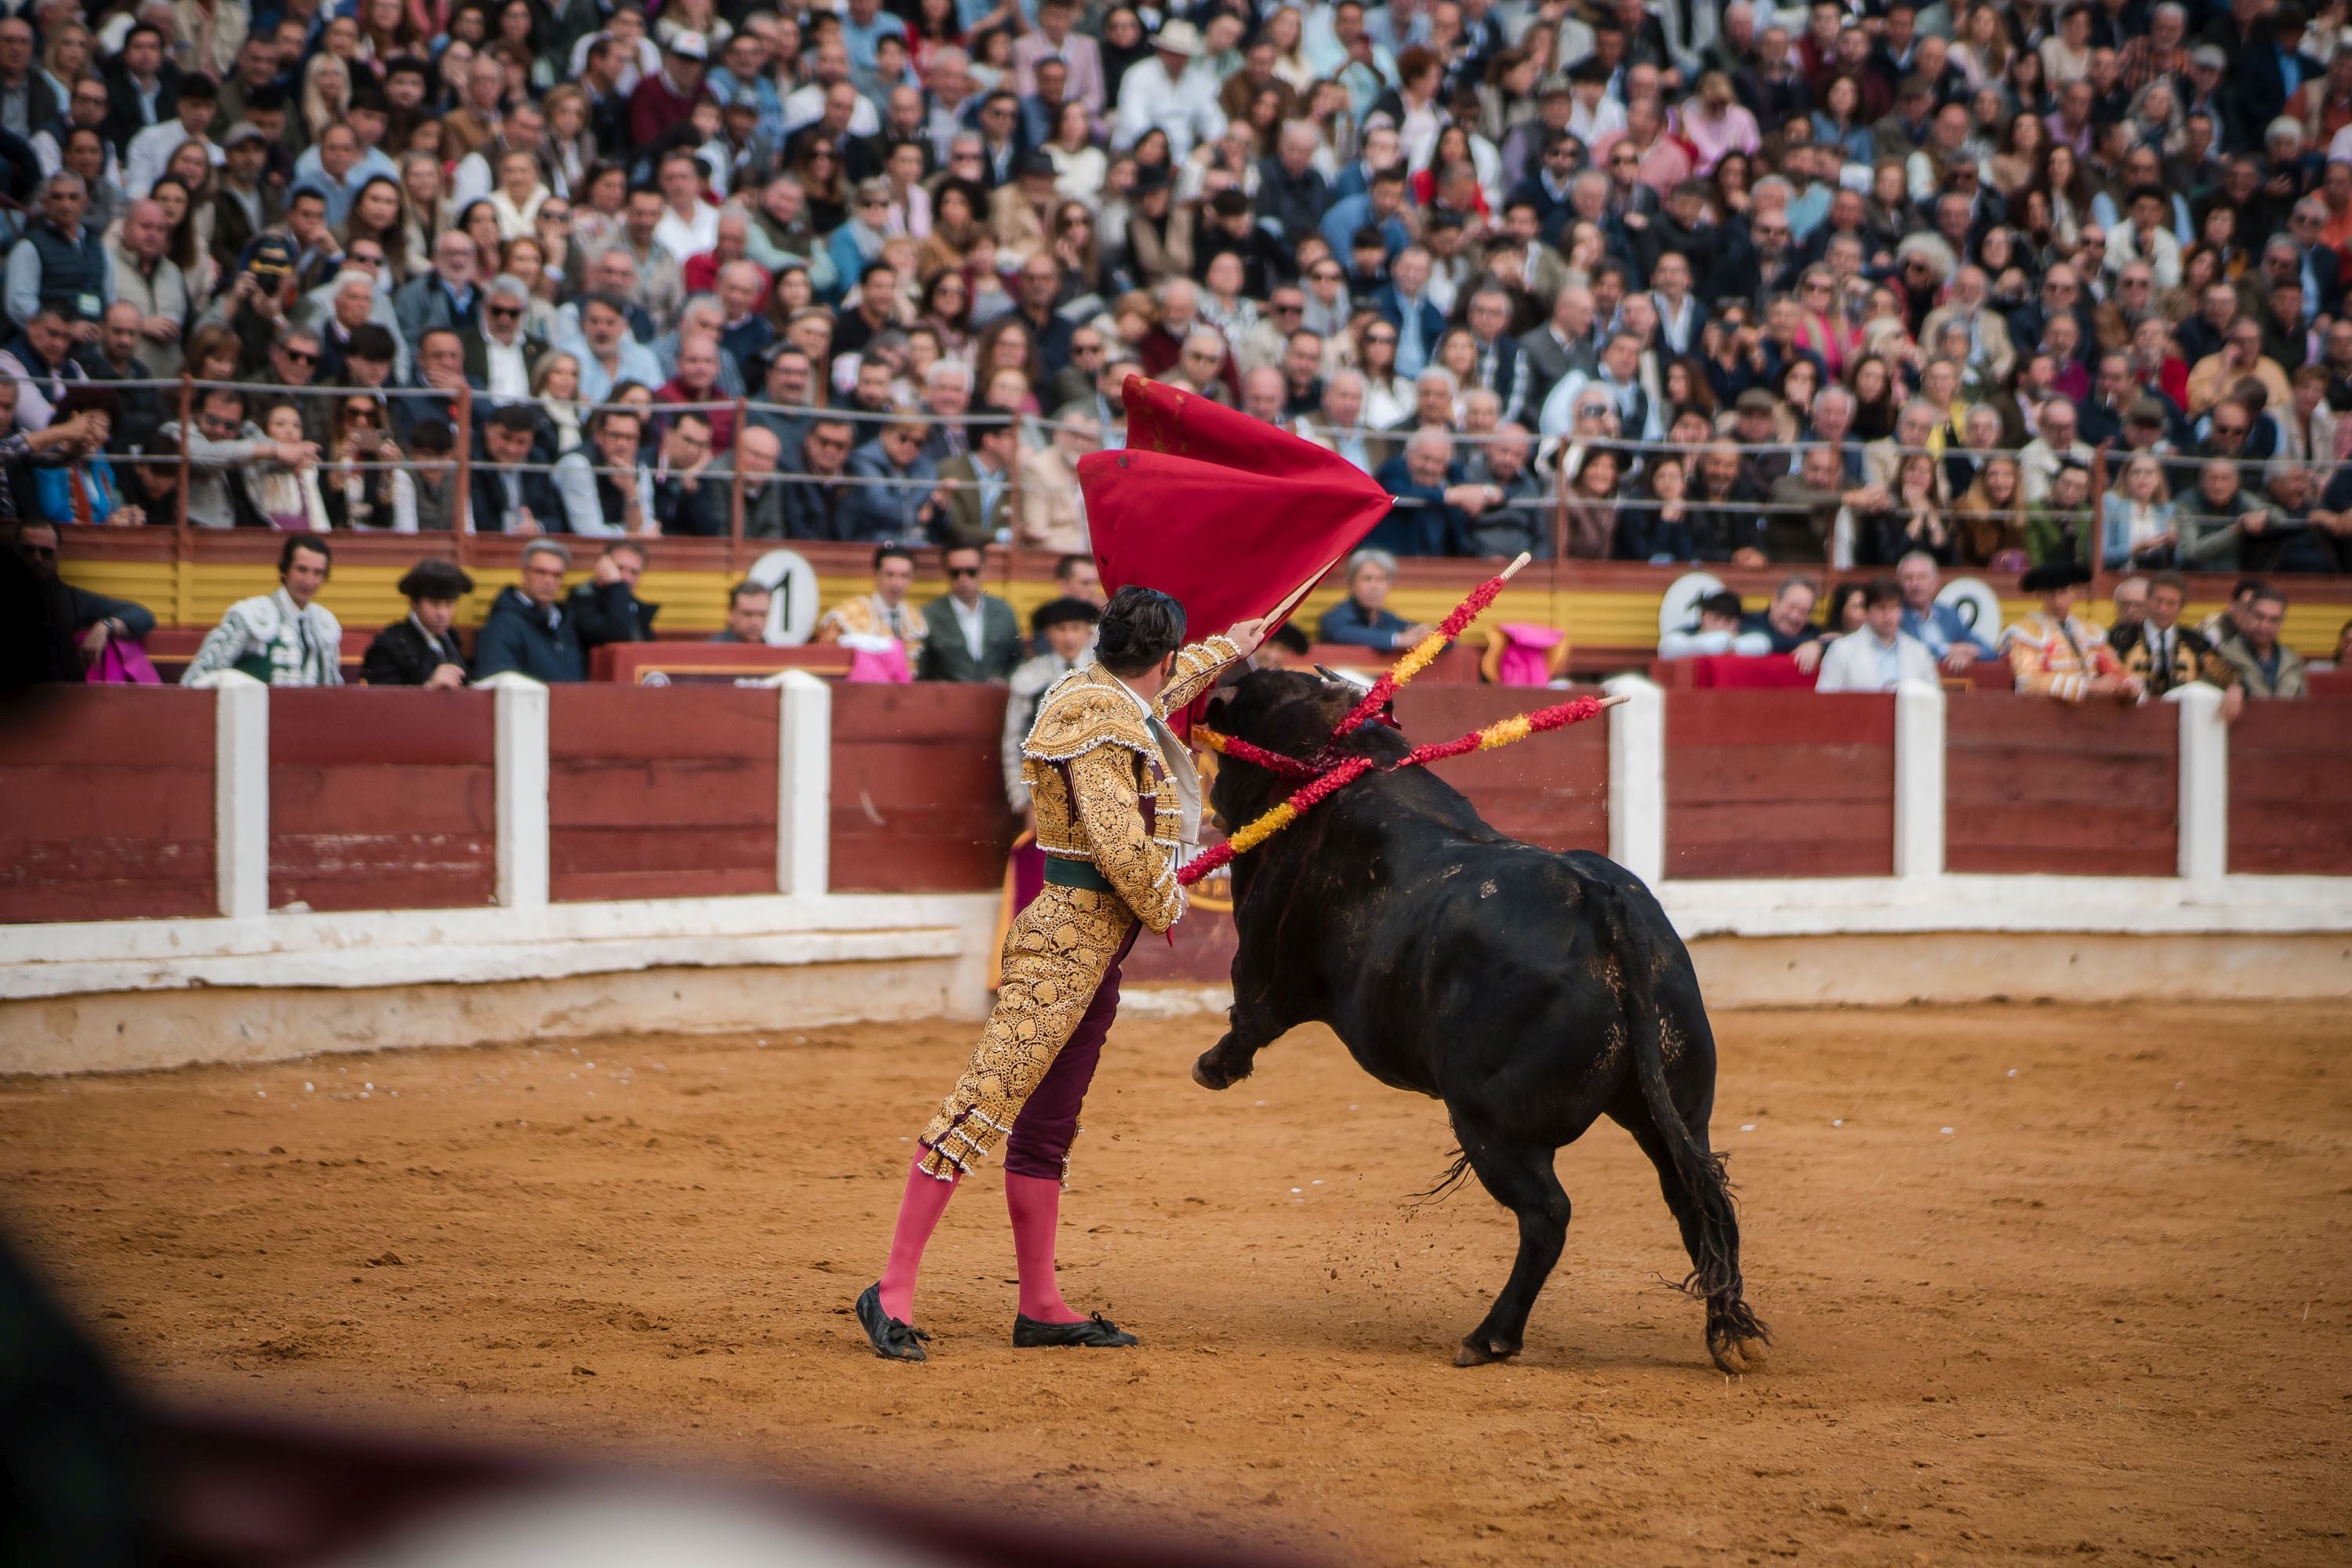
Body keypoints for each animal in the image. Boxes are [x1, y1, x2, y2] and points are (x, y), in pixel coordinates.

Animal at [1195, 677, 1769, 1373]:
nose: (1213, 807)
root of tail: (1602, 906)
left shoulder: (1267, 963)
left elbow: (1252, 1011)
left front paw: (1214, 1067)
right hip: (1675, 1106)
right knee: (1699, 1202)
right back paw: (1728, 1337)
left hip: (1492, 1125)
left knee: (1548, 1214)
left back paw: (1490, 1336)